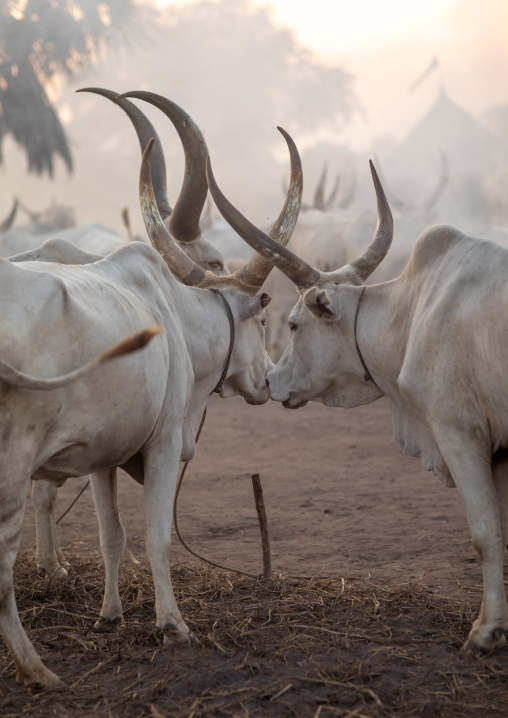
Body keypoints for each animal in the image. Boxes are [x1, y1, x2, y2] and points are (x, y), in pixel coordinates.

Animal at [0, 125, 302, 691]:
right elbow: (156, 537)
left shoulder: (102, 456)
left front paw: (109, 616)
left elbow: (112, 536)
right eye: (259, 322)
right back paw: (36, 669)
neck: (173, 312)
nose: (268, 381)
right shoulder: (160, 444)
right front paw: (173, 625)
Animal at [206, 154, 508, 655]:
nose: (272, 381)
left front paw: (485, 632)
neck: (413, 313)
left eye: (294, 324)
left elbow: (485, 534)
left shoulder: (460, 433)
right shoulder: (500, 449)